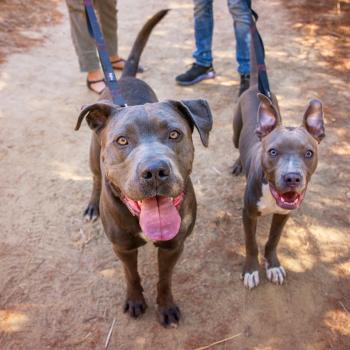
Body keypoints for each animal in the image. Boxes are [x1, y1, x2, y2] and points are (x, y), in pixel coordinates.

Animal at [75, 10, 212, 328]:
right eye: (122, 140)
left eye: (174, 134)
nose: (155, 171)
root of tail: (124, 78)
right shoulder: (123, 247)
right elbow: (131, 275)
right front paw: (136, 300)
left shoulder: (174, 247)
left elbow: (165, 280)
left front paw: (166, 307)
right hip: (93, 159)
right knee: (95, 178)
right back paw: (91, 205)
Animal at [232, 29, 326, 290]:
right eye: (273, 152)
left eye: (309, 153)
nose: (292, 178)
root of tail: (256, 86)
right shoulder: (248, 214)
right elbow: (251, 244)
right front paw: (251, 270)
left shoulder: (284, 214)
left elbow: (273, 240)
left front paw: (272, 265)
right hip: (235, 131)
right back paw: (237, 164)